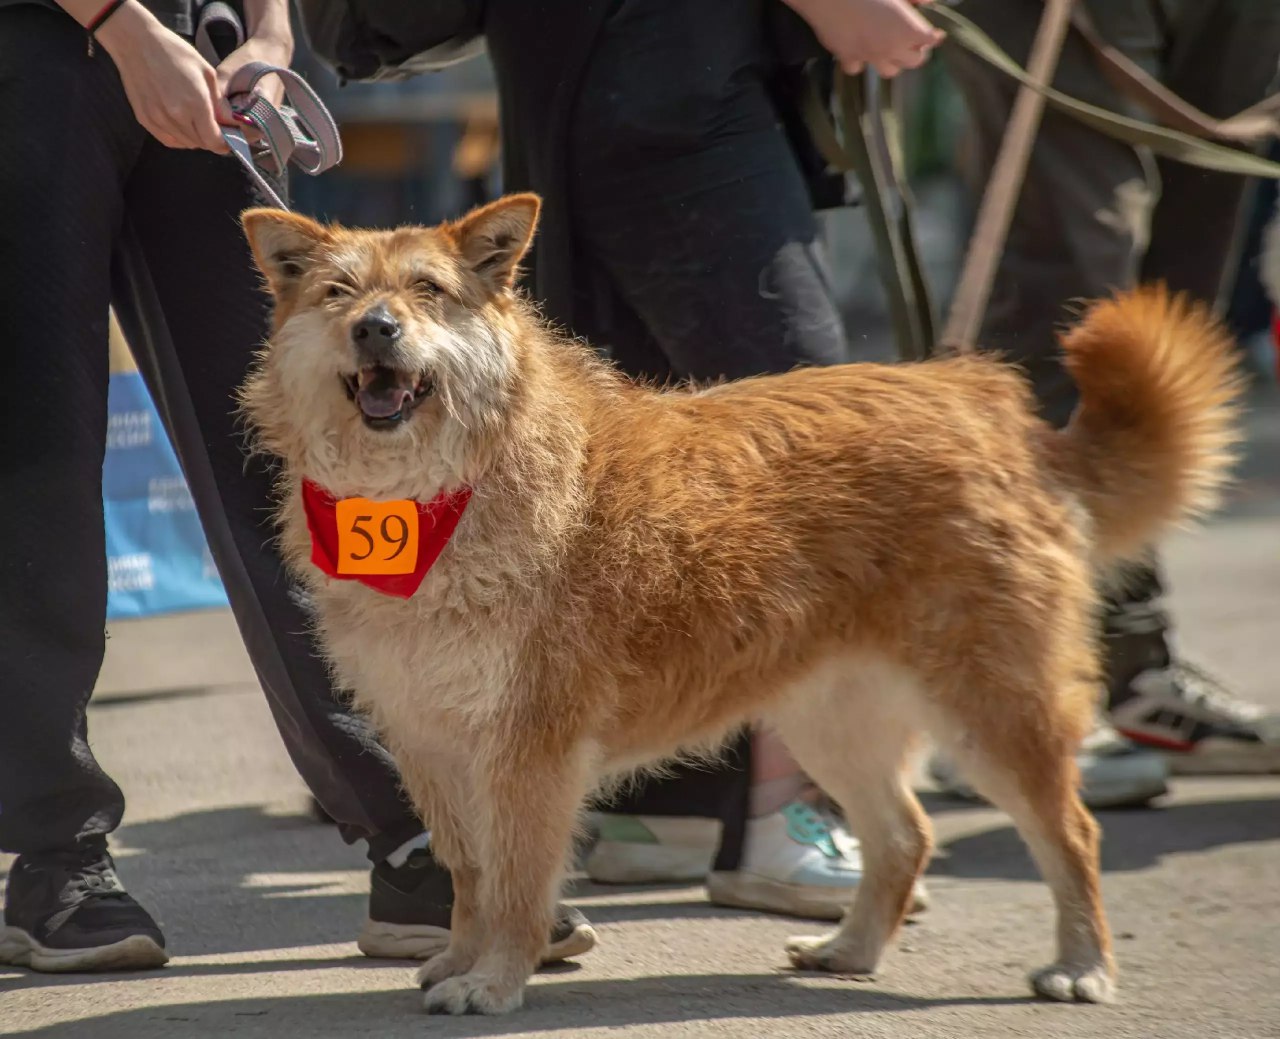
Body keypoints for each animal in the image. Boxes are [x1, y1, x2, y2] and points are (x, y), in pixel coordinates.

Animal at [238, 194, 1239, 1013]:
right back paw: (849, 948)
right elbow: (471, 873)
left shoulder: (530, 747)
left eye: (430, 290)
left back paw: (1082, 963)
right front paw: (459, 956)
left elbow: (518, 881)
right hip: (832, 719)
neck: (445, 489)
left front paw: (496, 980)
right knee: (905, 836)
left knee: (1069, 831)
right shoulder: (430, 739)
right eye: (337, 292)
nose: (375, 329)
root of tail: (988, 406)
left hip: (991, 709)